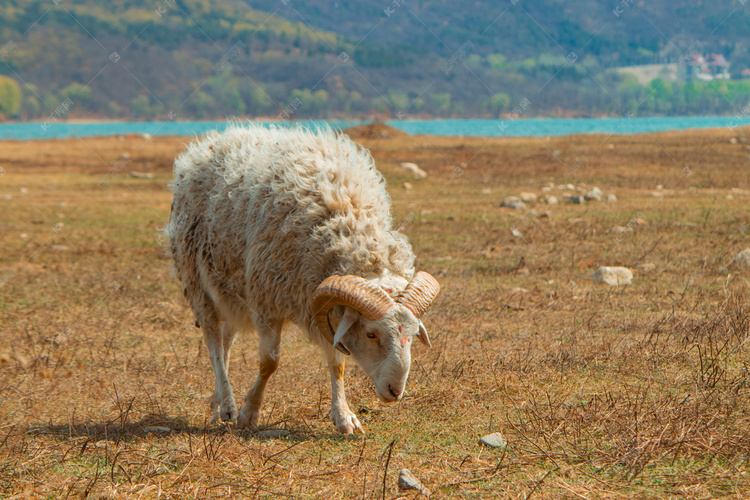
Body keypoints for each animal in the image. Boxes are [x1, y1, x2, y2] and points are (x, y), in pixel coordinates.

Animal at [167, 122, 440, 434]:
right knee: (212, 338)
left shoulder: (323, 308)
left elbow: (337, 364)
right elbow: (269, 363)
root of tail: (217, 138)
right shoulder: (268, 302)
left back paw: (216, 403)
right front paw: (250, 412)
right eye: (371, 333)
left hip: (232, 286)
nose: (395, 391)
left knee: (226, 339)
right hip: (197, 279)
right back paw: (227, 405)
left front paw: (343, 416)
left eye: (413, 334)